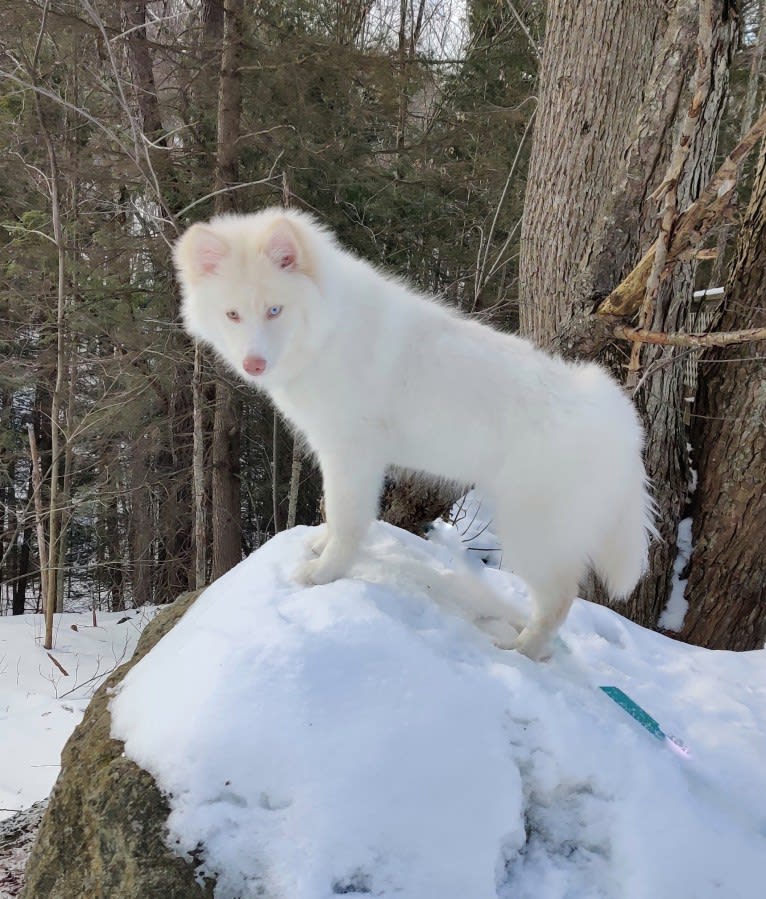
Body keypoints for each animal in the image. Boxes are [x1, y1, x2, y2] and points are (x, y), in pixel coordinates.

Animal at [174, 211, 656, 660]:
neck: (328, 330)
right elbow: (336, 515)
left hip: (532, 533)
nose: (253, 364)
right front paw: (320, 547)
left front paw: (325, 574)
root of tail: (619, 421)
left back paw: (519, 650)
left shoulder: (352, 453)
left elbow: (347, 518)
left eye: (275, 310)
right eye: (232, 314)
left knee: (559, 601)